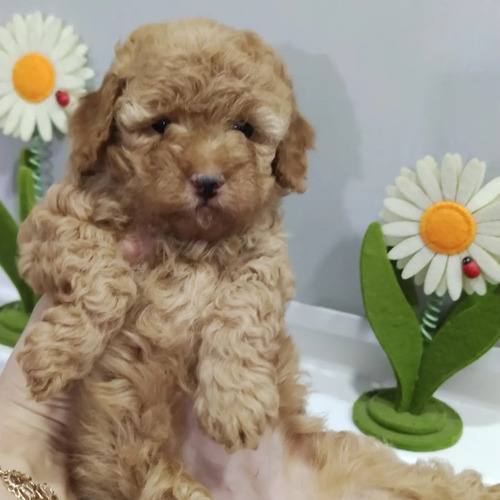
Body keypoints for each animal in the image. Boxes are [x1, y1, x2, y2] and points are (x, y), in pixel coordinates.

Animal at [15, 16, 496, 500]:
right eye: (161, 124)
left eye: (244, 128)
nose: (208, 180)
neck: (186, 237)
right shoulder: (49, 226)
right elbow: (101, 270)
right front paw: (56, 354)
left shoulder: (267, 257)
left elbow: (241, 307)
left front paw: (236, 404)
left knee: (424, 477)